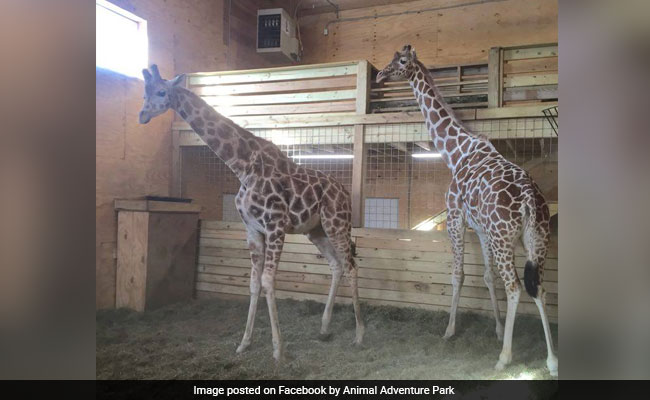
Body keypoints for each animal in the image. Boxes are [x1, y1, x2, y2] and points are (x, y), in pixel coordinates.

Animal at [138, 65, 364, 361]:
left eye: (162, 92)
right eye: (145, 92)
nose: (142, 115)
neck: (241, 166)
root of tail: (345, 193)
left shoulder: (275, 224)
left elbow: (268, 280)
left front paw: (278, 349)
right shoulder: (252, 229)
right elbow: (254, 283)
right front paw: (244, 343)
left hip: (337, 223)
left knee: (350, 266)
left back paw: (360, 333)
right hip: (315, 230)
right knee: (336, 265)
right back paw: (325, 329)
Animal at [377, 46, 558, 376]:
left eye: (402, 61)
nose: (381, 75)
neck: (456, 152)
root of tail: (529, 199)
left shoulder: (455, 218)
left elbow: (458, 275)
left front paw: (449, 330)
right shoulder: (482, 229)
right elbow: (487, 276)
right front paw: (497, 329)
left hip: (504, 239)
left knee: (515, 287)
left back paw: (504, 357)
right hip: (536, 239)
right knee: (538, 287)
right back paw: (552, 360)